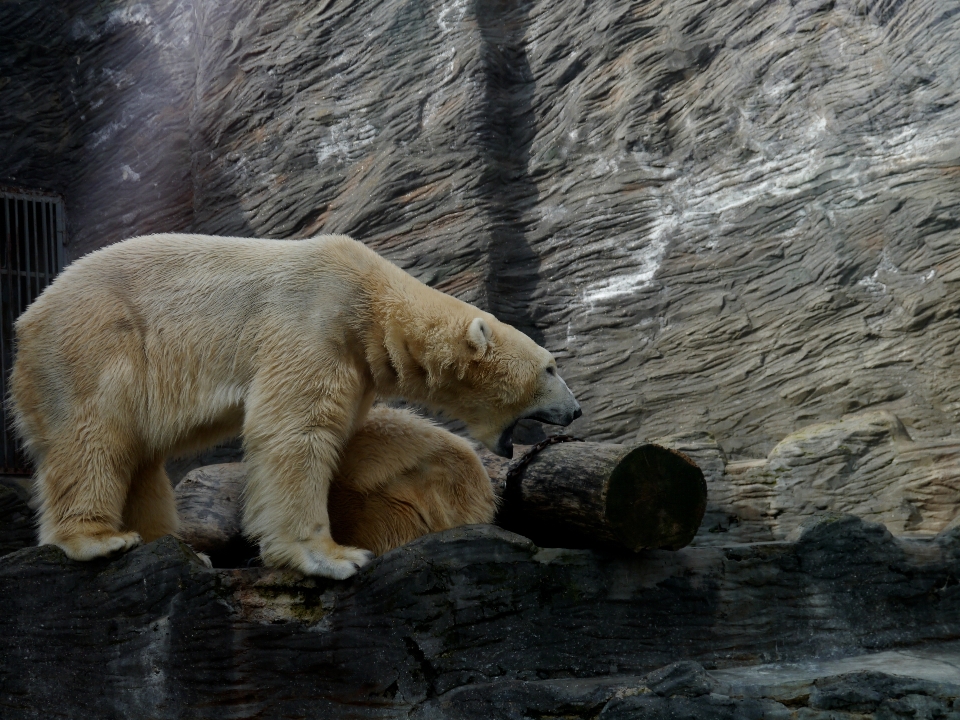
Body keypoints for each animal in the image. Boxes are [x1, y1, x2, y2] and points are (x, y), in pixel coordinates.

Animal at [11, 235, 576, 580]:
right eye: (551, 368)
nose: (575, 411)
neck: (372, 297)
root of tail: (28, 318)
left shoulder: (357, 357)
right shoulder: (314, 319)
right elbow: (297, 429)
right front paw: (334, 556)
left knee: (141, 456)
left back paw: (174, 547)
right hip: (96, 340)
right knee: (96, 431)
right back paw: (98, 538)